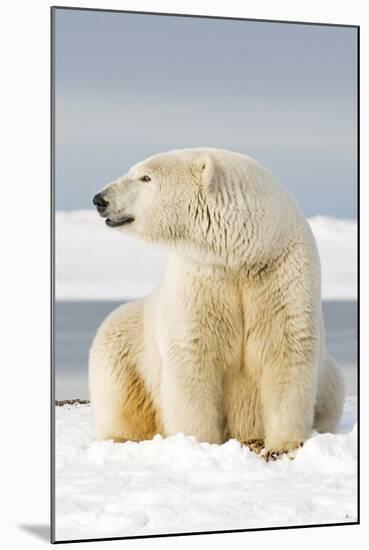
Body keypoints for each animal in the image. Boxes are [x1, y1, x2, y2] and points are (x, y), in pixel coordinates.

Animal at [88, 148, 342, 462]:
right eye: (136, 171)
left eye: (145, 177)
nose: (100, 199)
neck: (243, 255)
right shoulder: (201, 279)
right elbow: (193, 356)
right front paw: (198, 443)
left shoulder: (281, 274)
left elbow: (286, 347)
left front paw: (285, 444)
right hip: (125, 340)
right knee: (117, 388)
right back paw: (122, 437)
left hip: (330, 379)